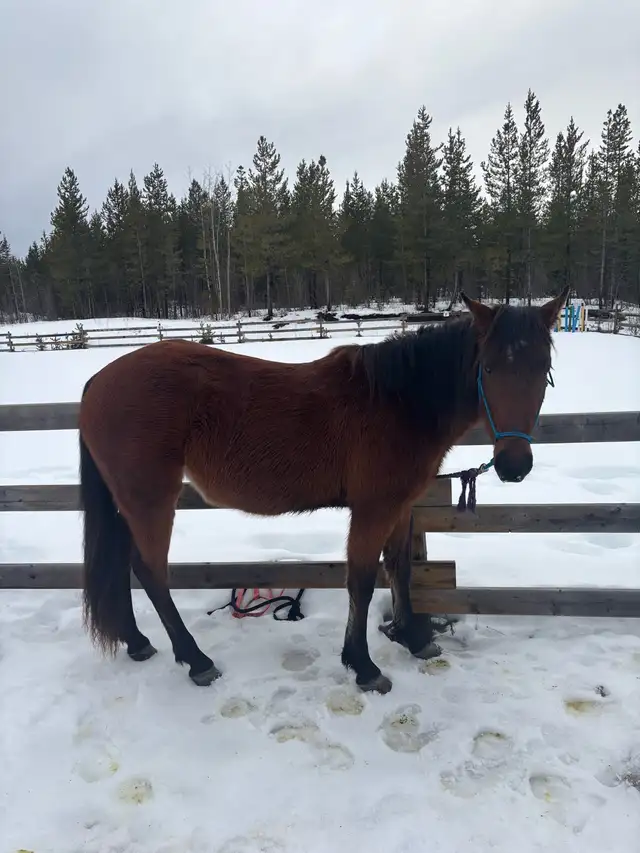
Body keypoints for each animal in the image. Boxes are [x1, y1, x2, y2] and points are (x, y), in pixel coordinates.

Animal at [78, 287, 569, 694]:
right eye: (488, 367)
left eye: (543, 369)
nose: (513, 465)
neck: (398, 402)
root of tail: (97, 382)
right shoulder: (373, 510)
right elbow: (362, 582)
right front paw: (363, 667)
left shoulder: (400, 507)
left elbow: (400, 571)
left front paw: (413, 639)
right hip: (152, 501)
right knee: (150, 572)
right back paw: (196, 660)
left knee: (125, 566)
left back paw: (137, 641)